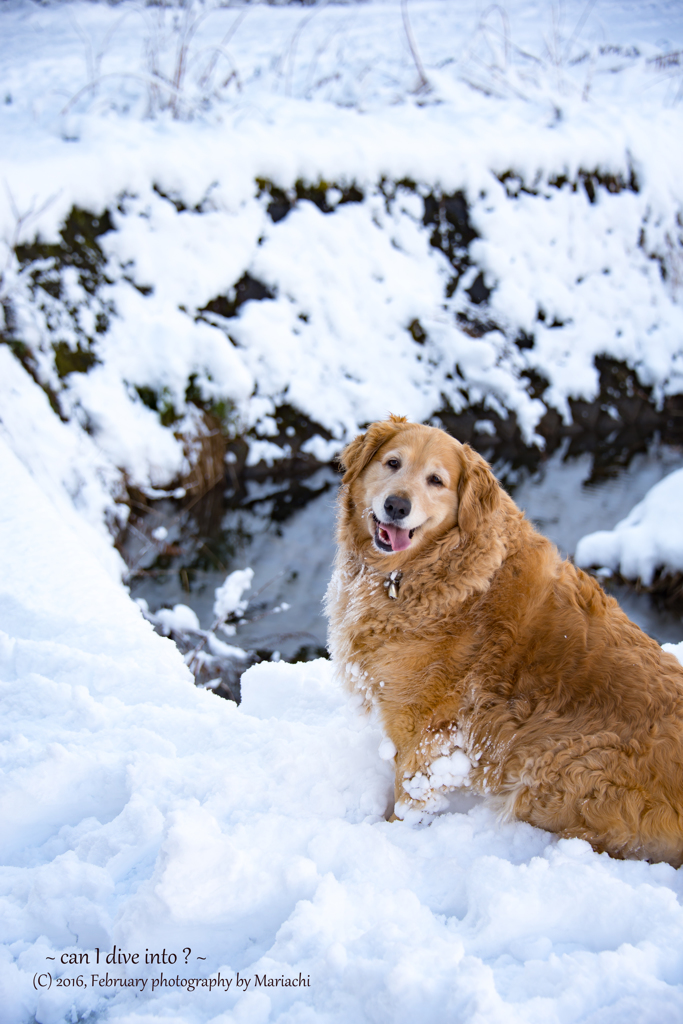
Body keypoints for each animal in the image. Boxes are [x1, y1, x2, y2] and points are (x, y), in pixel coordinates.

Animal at [323, 415, 683, 864]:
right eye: (392, 463)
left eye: (436, 480)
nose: (397, 506)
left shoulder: (427, 730)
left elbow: (410, 797)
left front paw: (392, 836)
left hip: (555, 762)